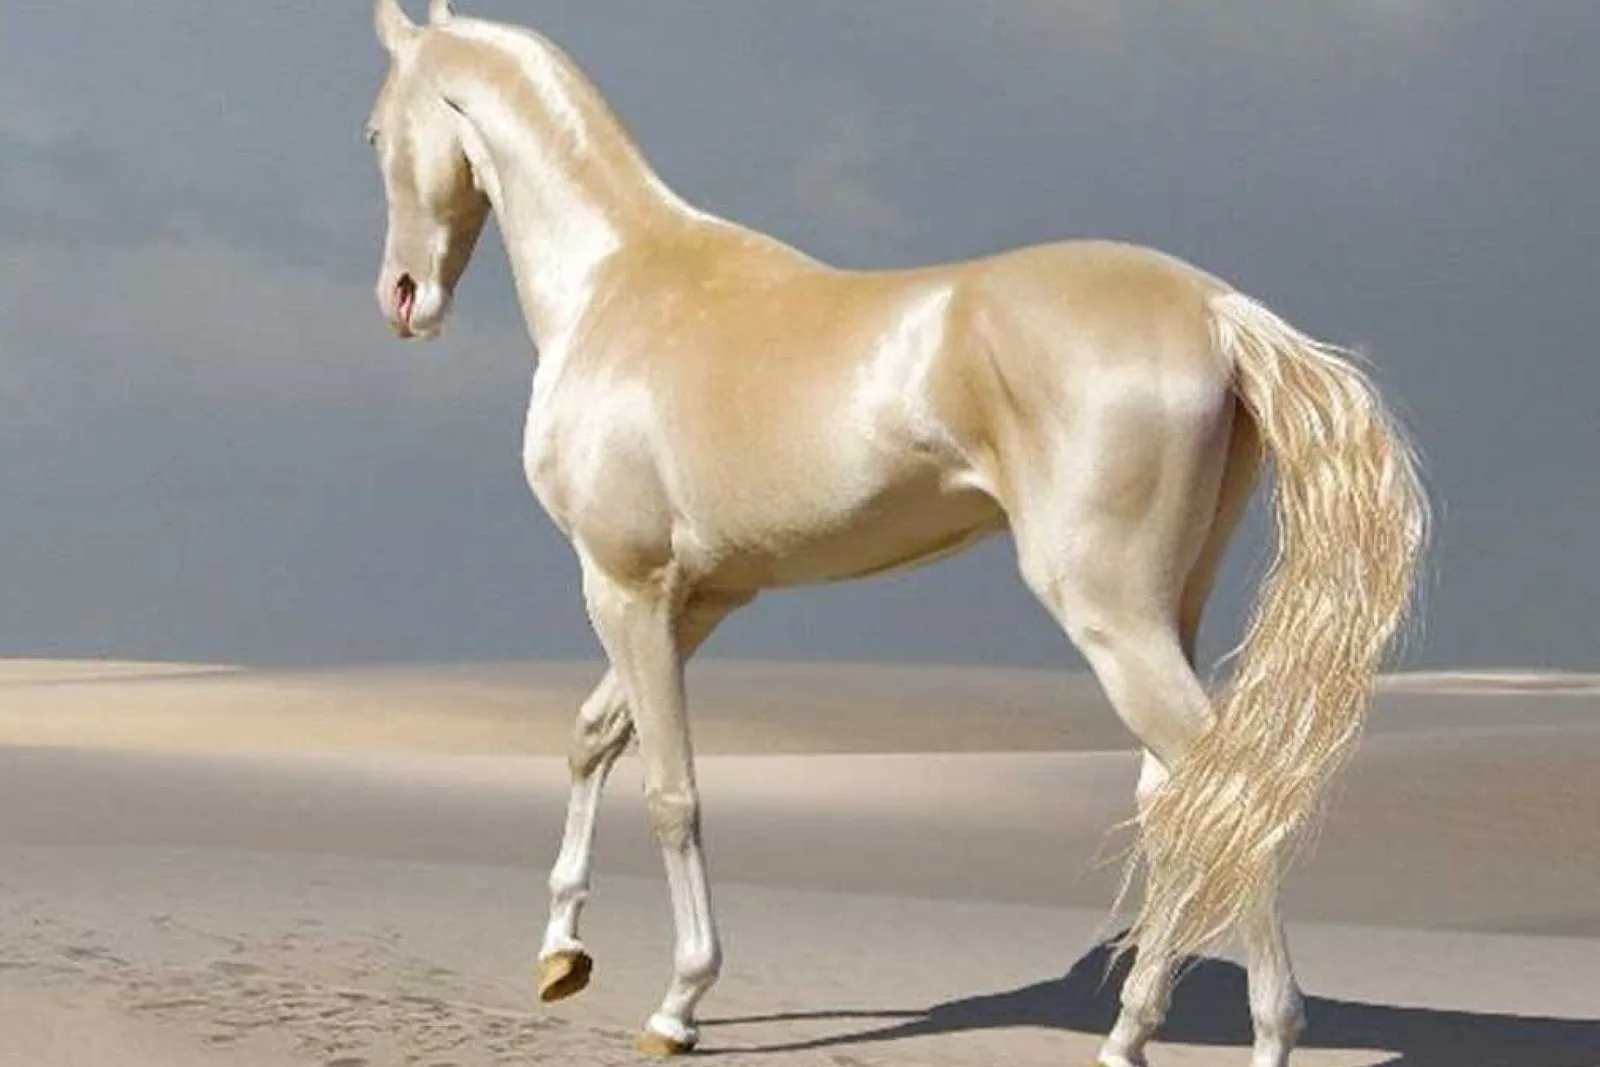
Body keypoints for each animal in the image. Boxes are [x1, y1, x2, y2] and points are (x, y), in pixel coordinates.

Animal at [364, 3, 1429, 1064]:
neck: (620, 286)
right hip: (1171, 613)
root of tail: (1213, 310)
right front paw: (561, 954)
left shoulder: (625, 584)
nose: (405, 298)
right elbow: (593, 737)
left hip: (1112, 619)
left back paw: (1264, 1028)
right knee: (1181, 801)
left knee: (1232, 796)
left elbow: (672, 791)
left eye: (375, 132)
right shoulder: (697, 598)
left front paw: (678, 1003)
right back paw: (1128, 1031)